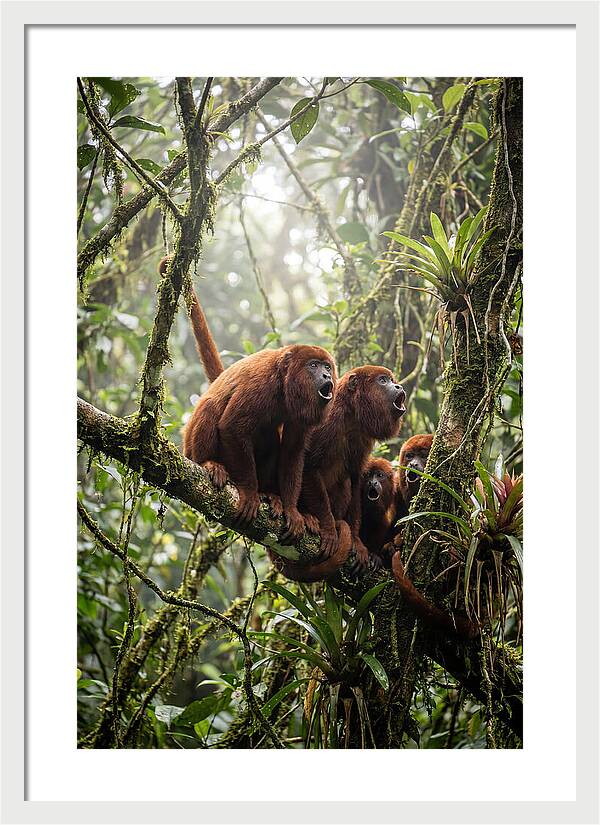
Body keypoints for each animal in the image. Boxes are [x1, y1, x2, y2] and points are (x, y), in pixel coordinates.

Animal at [160, 257, 338, 538]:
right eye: (313, 366)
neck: (284, 383)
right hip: (190, 448)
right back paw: (210, 464)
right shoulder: (261, 384)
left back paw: (271, 496)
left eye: (327, 366)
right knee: (211, 408)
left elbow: (292, 451)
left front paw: (291, 509)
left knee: (271, 438)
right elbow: (231, 426)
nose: (326, 375)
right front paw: (251, 493)